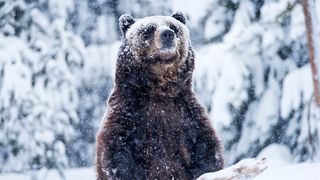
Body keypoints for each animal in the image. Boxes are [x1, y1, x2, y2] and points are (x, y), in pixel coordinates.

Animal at [96, 11, 224, 179]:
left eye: (174, 27)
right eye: (149, 29)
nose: (167, 34)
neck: (160, 90)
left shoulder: (187, 115)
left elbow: (206, 150)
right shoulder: (127, 114)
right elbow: (117, 154)